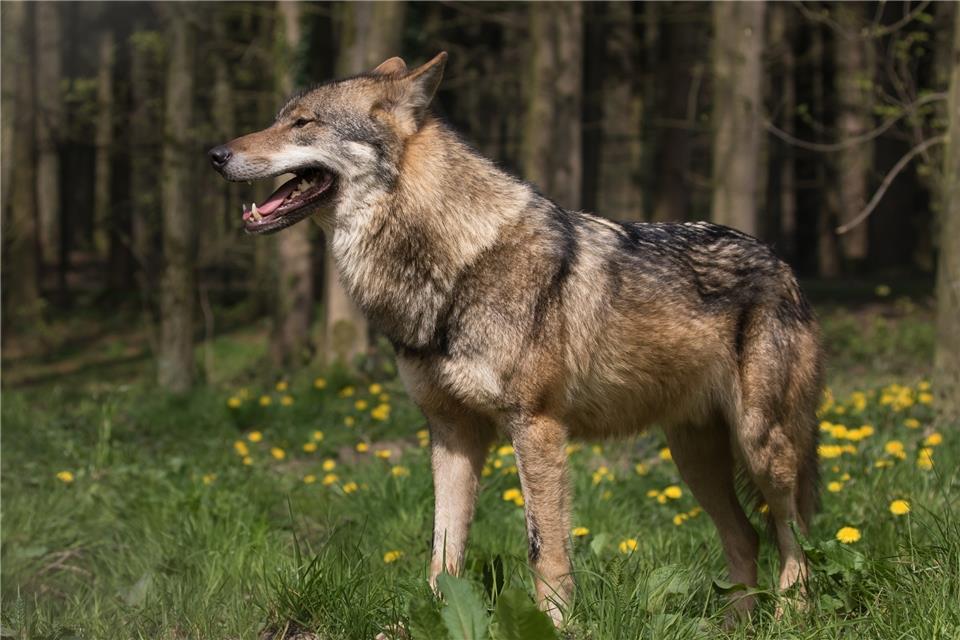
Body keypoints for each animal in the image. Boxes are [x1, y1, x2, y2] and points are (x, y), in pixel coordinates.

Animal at [209, 53, 823, 624]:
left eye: (303, 123)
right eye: (278, 118)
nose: (215, 154)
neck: (454, 264)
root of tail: (784, 265)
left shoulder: (538, 427)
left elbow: (542, 549)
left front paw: (555, 624)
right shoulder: (451, 432)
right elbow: (443, 553)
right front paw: (436, 617)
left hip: (761, 446)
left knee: (794, 536)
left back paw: (789, 618)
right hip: (693, 457)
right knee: (746, 537)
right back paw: (737, 624)